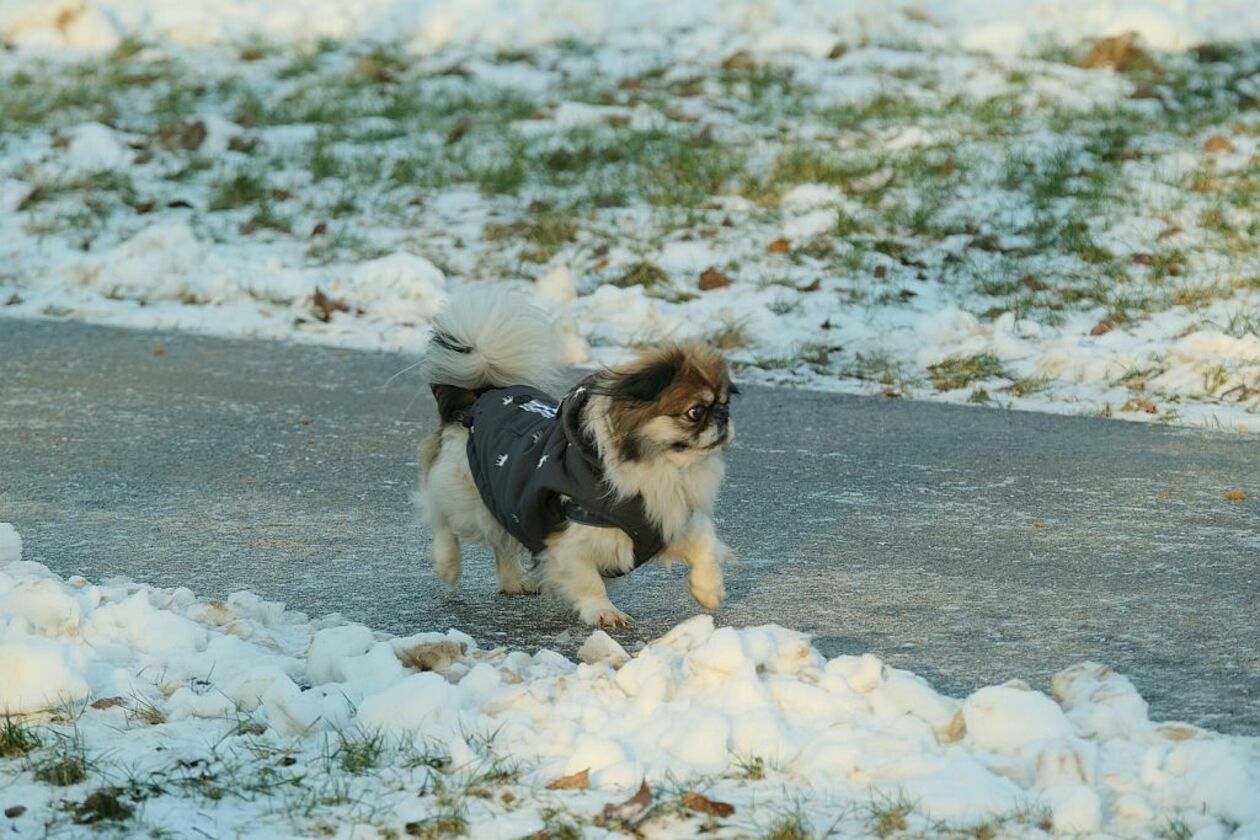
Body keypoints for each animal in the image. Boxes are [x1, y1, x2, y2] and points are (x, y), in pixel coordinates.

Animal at [418, 292, 735, 627]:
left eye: (726, 404)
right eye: (695, 412)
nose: (723, 418)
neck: (661, 467)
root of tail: (477, 399)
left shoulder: (670, 521)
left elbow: (705, 546)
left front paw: (708, 591)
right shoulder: (568, 543)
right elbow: (588, 581)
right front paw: (604, 612)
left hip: (500, 501)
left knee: (500, 542)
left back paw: (514, 581)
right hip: (463, 496)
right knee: (442, 519)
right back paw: (448, 566)